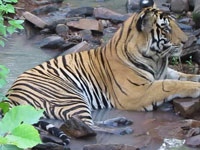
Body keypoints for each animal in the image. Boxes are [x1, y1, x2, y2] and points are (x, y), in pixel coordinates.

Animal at [5, 5, 200, 145]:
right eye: (166, 28)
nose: (187, 41)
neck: (157, 59)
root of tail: (9, 94)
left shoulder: (165, 72)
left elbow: (183, 76)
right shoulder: (136, 93)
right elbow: (170, 85)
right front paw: (196, 88)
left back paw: (121, 121)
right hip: (70, 97)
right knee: (86, 126)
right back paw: (122, 129)